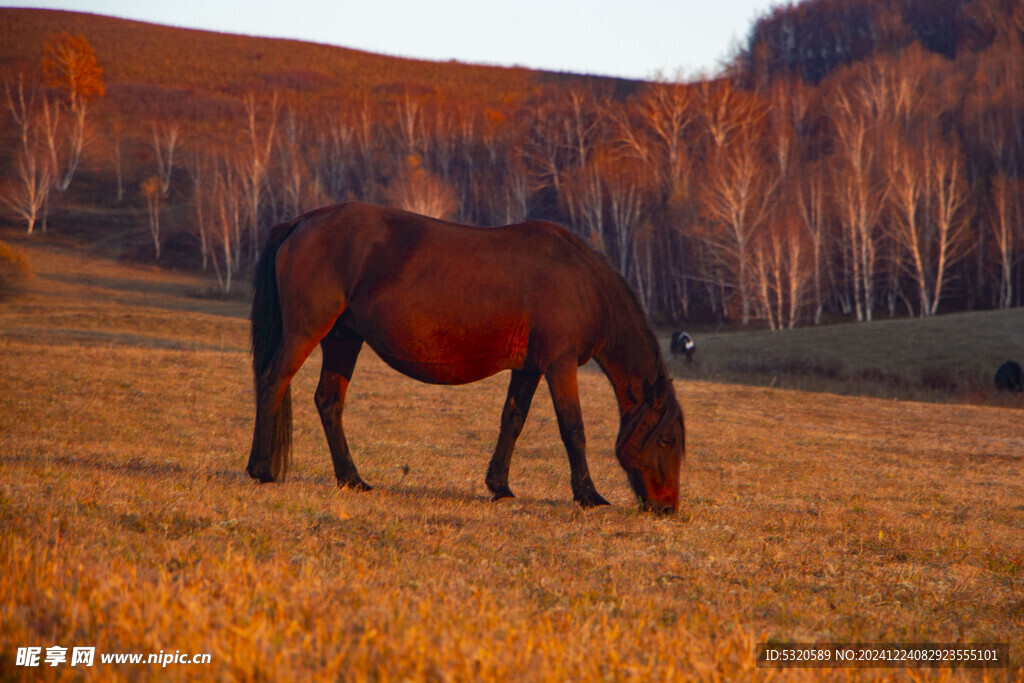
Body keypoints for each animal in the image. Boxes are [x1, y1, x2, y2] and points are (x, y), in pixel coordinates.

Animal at [243, 201, 684, 511]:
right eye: (666, 439)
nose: (666, 508)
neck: (579, 281)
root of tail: (303, 221)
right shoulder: (559, 365)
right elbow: (572, 429)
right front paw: (589, 495)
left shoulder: (528, 369)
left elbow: (513, 421)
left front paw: (500, 486)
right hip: (306, 331)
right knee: (271, 384)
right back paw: (260, 470)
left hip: (343, 339)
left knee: (329, 401)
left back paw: (352, 479)